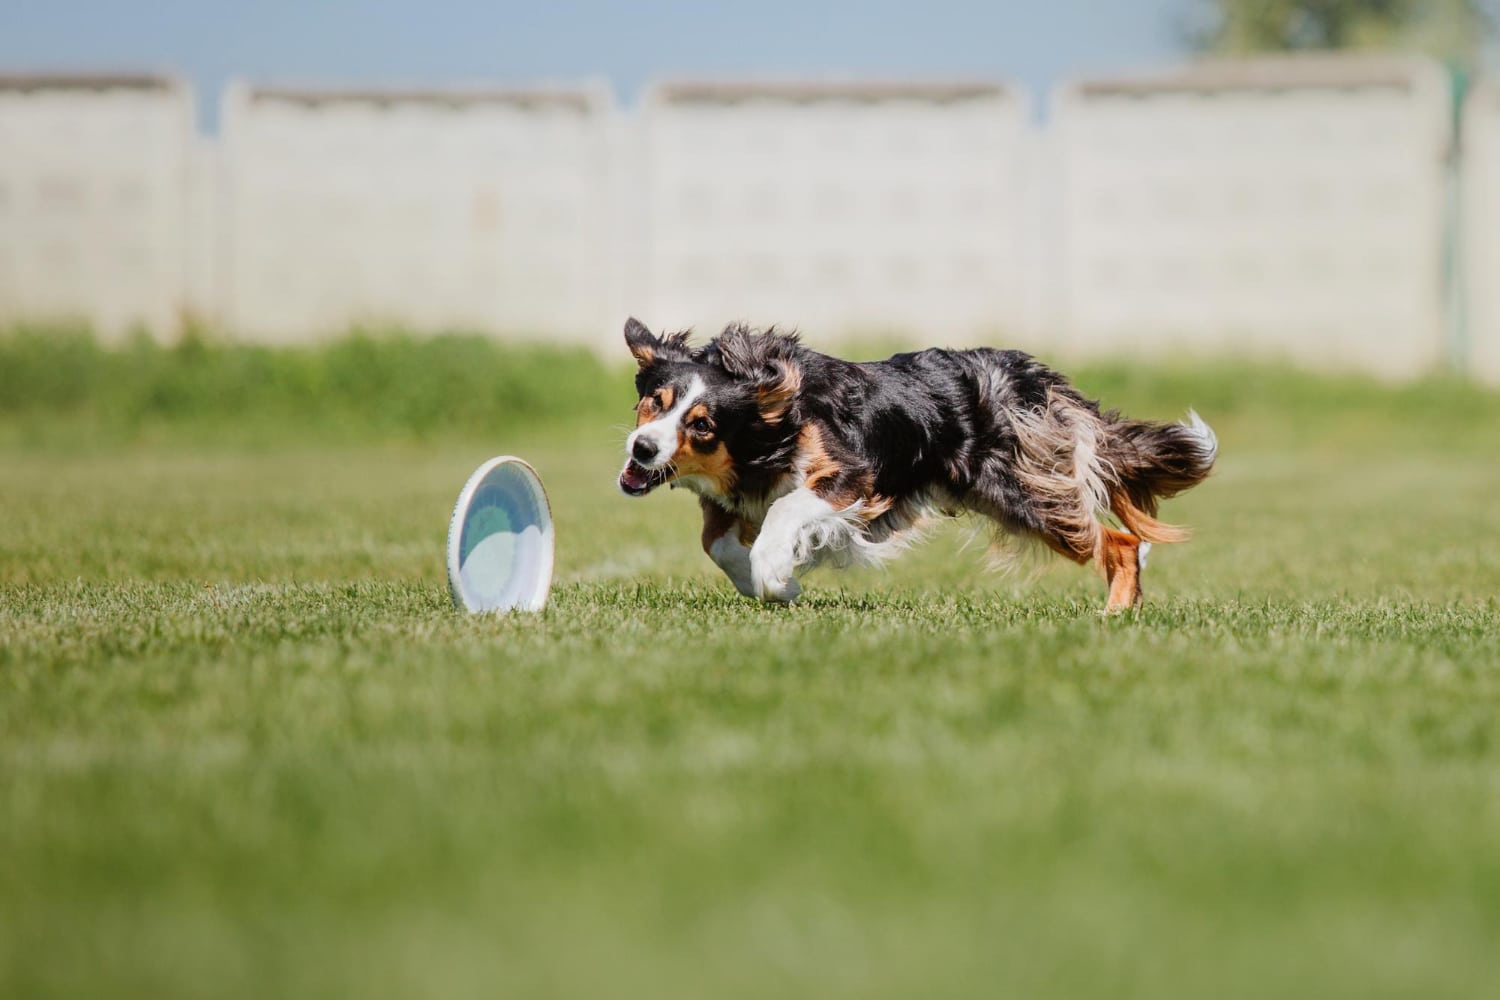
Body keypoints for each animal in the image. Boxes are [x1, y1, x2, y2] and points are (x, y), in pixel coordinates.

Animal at [621, 314, 1218, 611]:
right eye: (656, 401)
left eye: (702, 424)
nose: (642, 449)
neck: (775, 421)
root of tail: (1029, 377)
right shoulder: (732, 496)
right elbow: (717, 543)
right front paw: (779, 584)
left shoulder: (852, 474)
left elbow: (783, 514)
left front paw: (773, 573)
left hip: (1022, 491)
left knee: (1121, 542)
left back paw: (1114, 615)